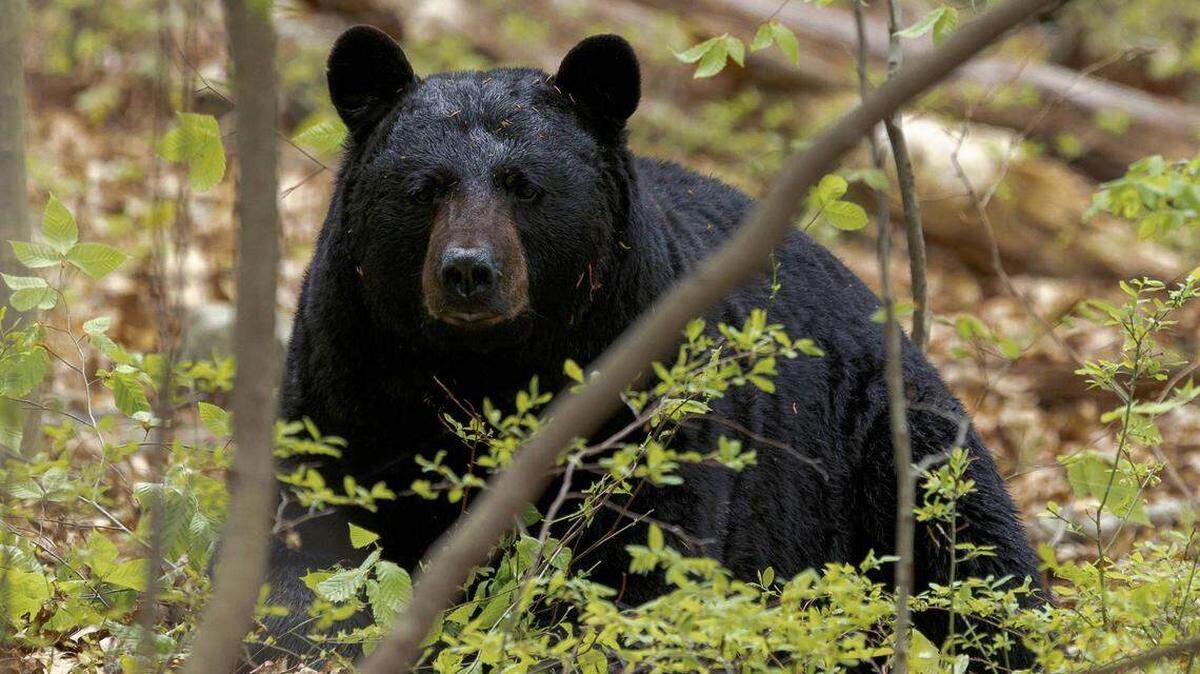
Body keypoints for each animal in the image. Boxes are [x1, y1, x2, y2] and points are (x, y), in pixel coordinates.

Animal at [261, 25, 1042, 667]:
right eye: (425, 187)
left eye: (524, 186)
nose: (468, 271)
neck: (488, 366)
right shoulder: (349, 368)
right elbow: (314, 529)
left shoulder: (643, 388)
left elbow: (643, 553)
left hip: (884, 441)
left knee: (976, 554)